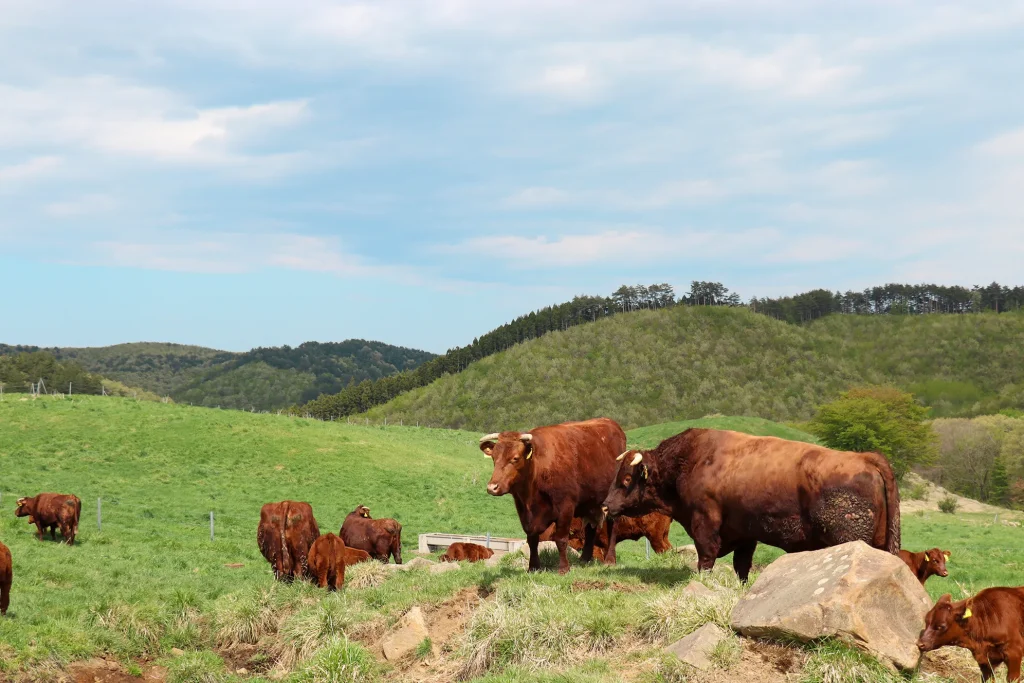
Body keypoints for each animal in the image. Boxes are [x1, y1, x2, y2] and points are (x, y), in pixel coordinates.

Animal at [481, 417, 630, 573]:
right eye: (493, 457)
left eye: (515, 458)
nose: (492, 487)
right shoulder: (524, 512)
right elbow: (532, 539)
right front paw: (533, 567)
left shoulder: (566, 506)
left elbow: (561, 539)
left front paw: (564, 569)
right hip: (590, 502)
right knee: (590, 529)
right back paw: (584, 559)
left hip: (612, 502)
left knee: (613, 528)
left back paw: (610, 560)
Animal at [602, 428, 901, 581]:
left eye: (626, 478)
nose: (605, 506)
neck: (690, 461)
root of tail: (866, 458)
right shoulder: (744, 535)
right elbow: (741, 566)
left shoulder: (705, 525)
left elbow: (706, 558)